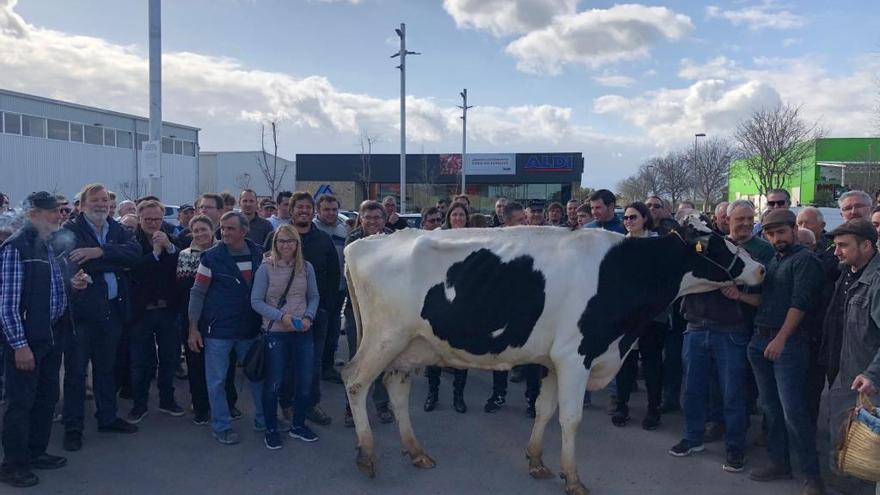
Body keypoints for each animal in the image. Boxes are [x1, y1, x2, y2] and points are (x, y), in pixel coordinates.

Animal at [340, 215, 768, 495]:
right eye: (717, 245)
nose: (762, 269)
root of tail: (364, 241)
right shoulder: (575, 356)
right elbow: (570, 419)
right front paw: (573, 479)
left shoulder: (554, 361)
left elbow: (545, 410)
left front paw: (537, 462)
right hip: (384, 337)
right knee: (356, 380)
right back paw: (367, 456)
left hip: (410, 345)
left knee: (396, 388)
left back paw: (416, 451)